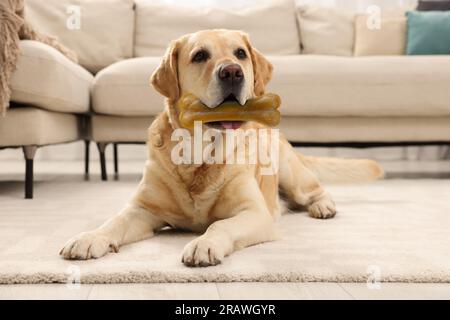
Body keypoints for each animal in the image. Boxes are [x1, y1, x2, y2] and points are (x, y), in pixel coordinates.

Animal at [59, 30, 384, 266]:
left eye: (240, 53)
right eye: (200, 55)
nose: (232, 72)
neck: (199, 153)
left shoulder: (254, 213)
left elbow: (220, 226)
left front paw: (204, 243)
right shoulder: (142, 209)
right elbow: (113, 222)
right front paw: (89, 238)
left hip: (289, 171)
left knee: (314, 189)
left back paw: (322, 206)